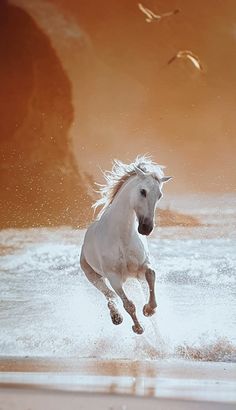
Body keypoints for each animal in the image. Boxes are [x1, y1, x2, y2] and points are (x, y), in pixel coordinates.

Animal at [79, 155, 171, 334]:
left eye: (160, 195)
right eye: (143, 191)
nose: (146, 228)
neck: (121, 237)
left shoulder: (142, 268)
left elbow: (151, 275)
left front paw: (149, 309)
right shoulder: (114, 277)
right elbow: (128, 304)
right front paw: (138, 328)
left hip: (132, 278)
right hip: (93, 276)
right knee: (109, 294)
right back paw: (116, 317)